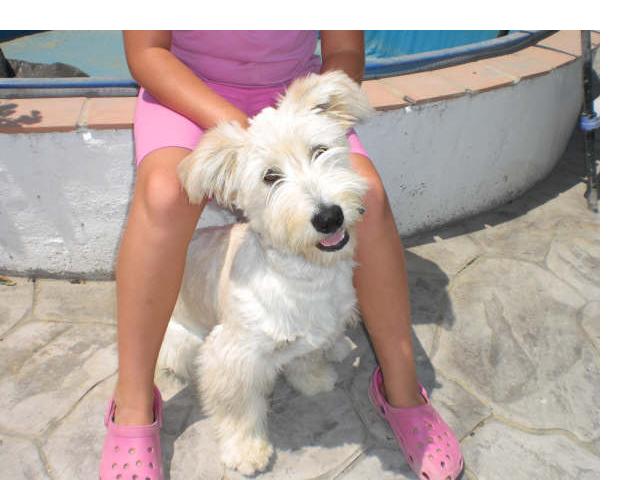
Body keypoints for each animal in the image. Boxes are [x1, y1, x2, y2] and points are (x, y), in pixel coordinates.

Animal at [156, 71, 373, 475]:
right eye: (270, 177)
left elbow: (307, 357)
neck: (304, 278)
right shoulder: (232, 356)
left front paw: (314, 379)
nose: (328, 217)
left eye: (319, 150)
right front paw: (246, 451)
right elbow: (239, 409)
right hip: (184, 341)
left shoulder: (313, 331)